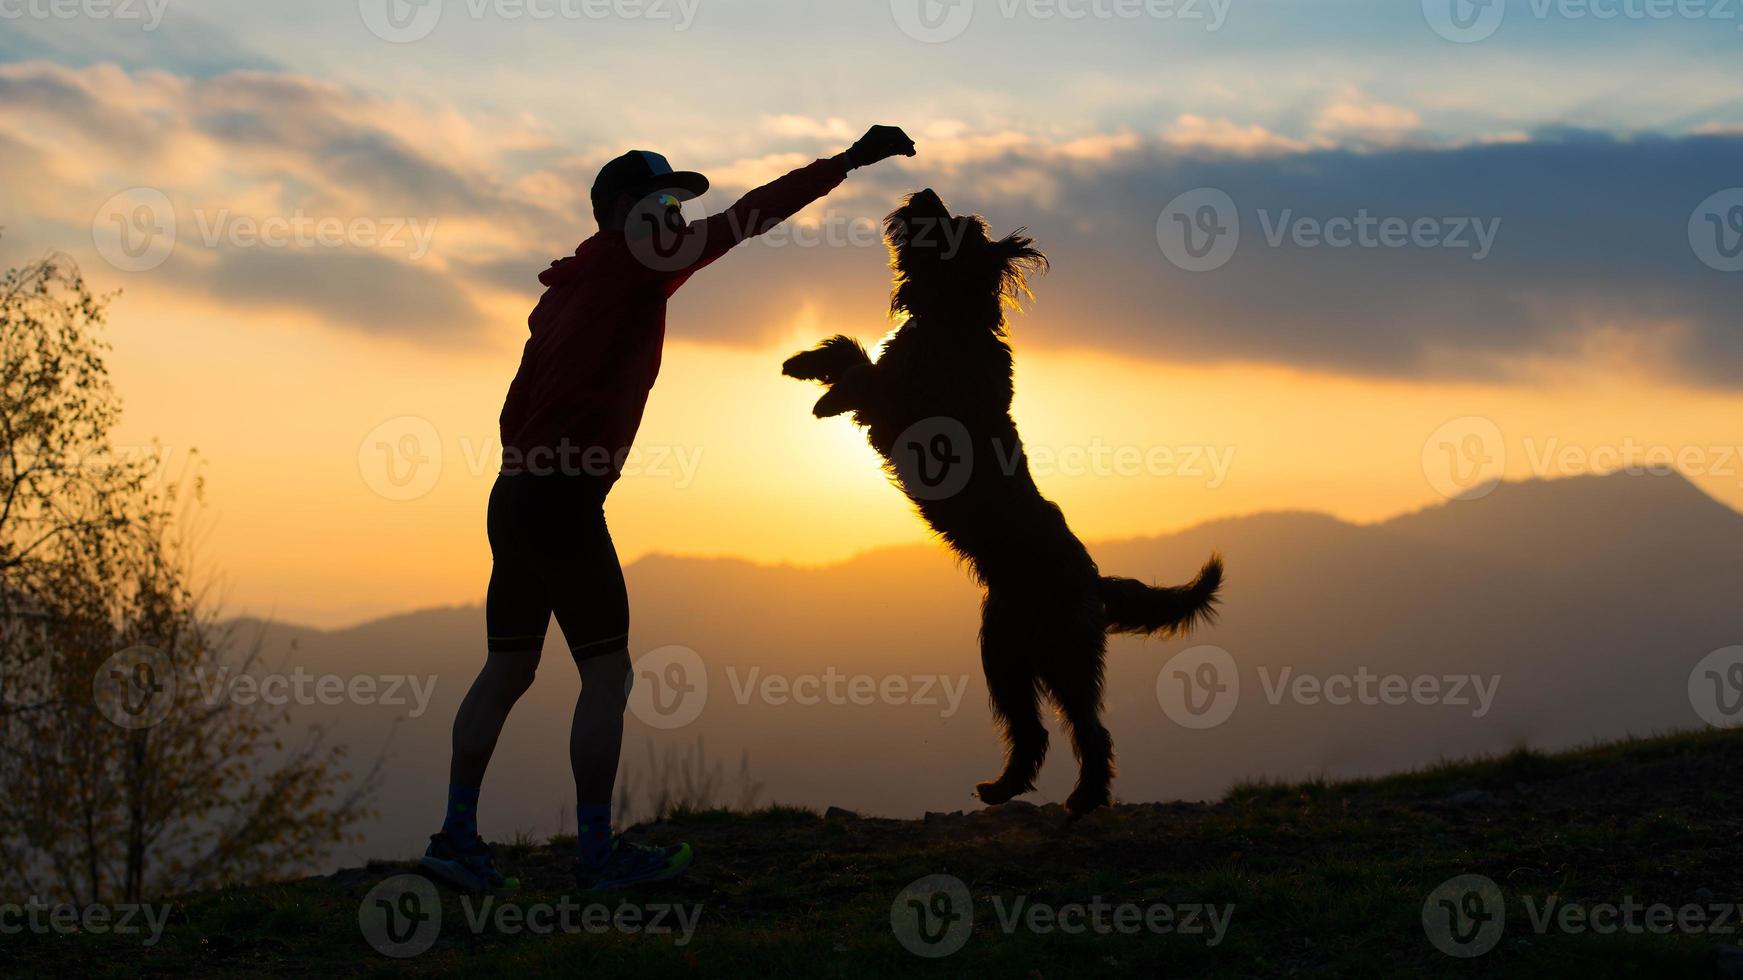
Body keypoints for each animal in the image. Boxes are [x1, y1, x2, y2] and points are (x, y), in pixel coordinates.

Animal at [784, 186, 1220, 812]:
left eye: (957, 226)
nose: (924, 192)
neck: (953, 320)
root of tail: (1092, 579)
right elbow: (849, 350)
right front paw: (805, 364)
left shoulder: (905, 402)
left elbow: (864, 370)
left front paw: (828, 393)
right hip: (1005, 655)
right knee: (1032, 731)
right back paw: (1003, 787)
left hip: (1063, 656)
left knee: (1090, 730)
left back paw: (1086, 797)